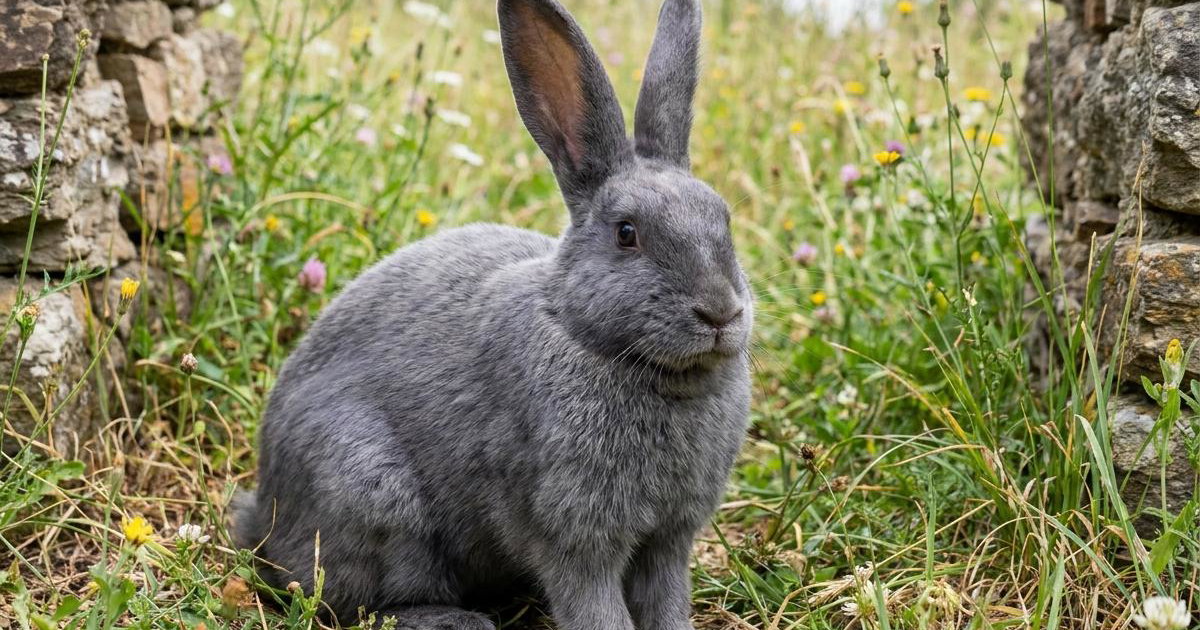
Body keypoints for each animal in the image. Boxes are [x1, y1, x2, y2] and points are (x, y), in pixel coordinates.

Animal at [232, 0, 752, 628]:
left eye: (724, 219)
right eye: (627, 234)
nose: (721, 313)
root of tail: (263, 513)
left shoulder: (668, 540)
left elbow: (666, 599)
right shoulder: (574, 532)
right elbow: (593, 603)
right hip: (374, 496)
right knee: (351, 601)